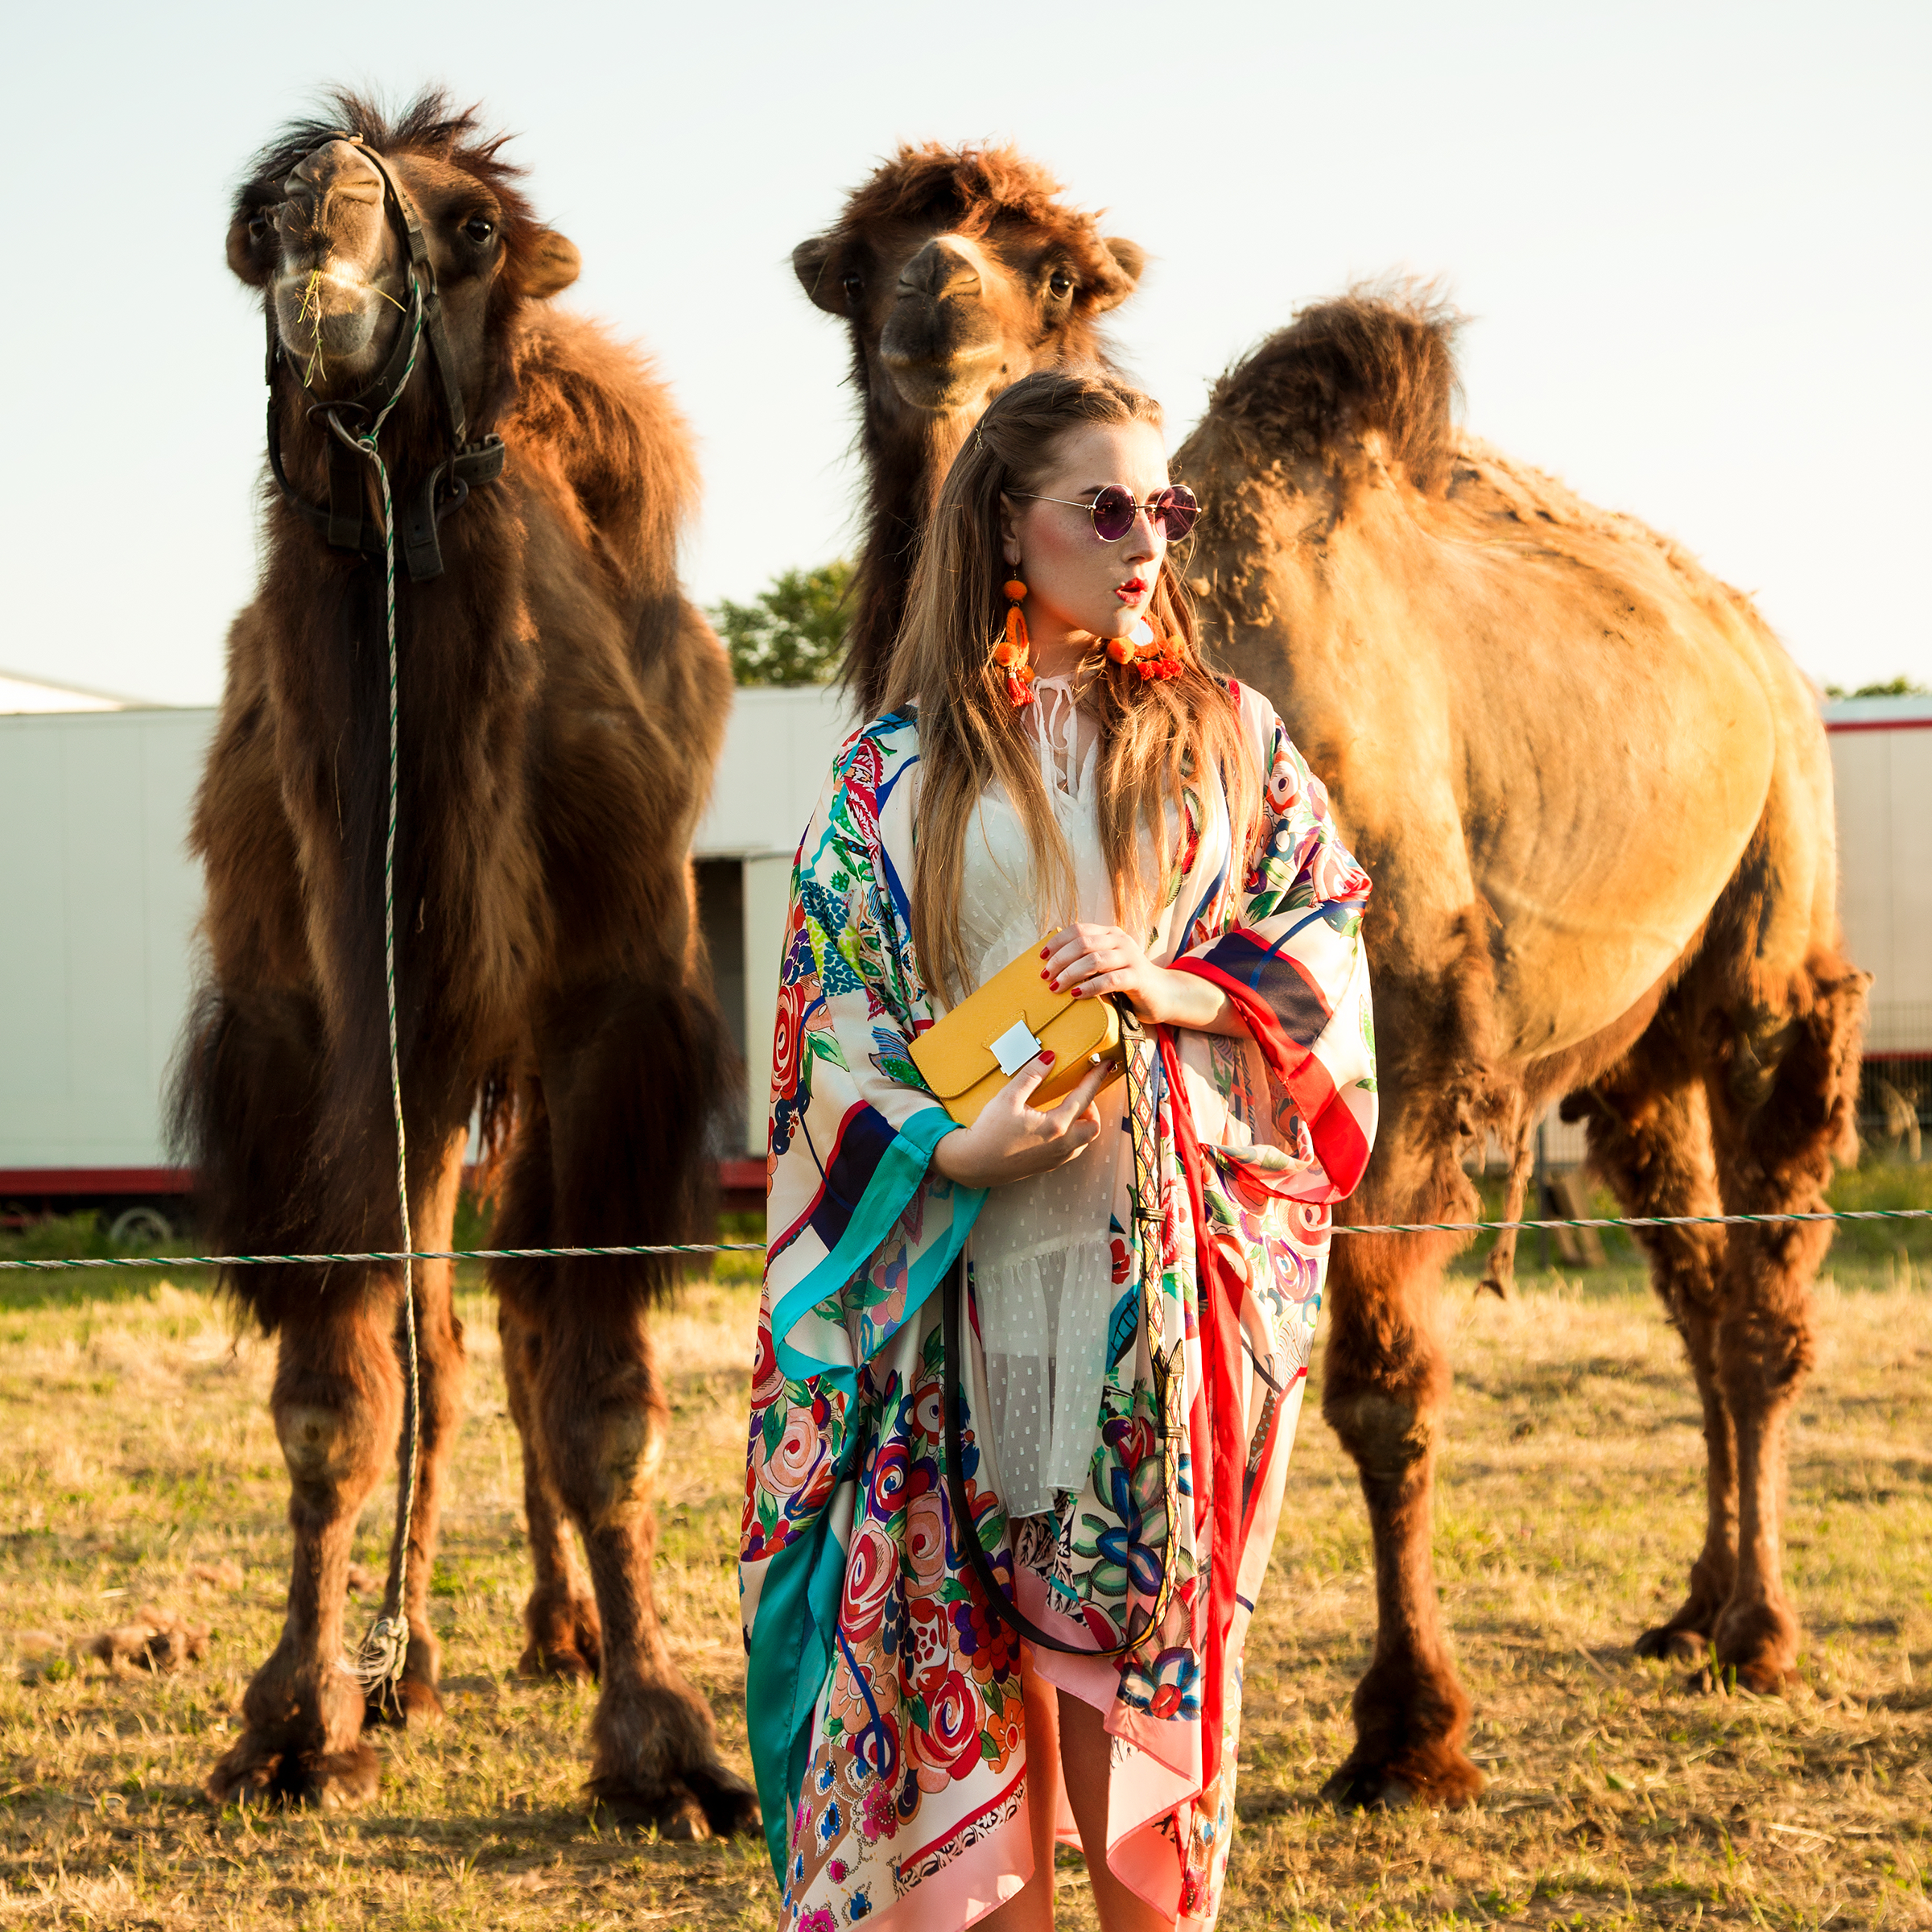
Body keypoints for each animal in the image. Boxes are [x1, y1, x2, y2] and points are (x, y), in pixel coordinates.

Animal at [174, 90, 757, 1839]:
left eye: (475, 226)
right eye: (255, 227)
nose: (322, 217)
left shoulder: (614, 1016)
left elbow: (600, 1393)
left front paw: (665, 1746)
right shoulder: (311, 1032)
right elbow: (334, 1394)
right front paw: (298, 1719)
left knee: (515, 1316)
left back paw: (564, 1631)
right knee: (436, 1325)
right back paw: (411, 1655)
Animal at [792, 158, 1862, 1800]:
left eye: (1054, 270)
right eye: (861, 267)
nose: (941, 295)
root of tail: (1761, 650)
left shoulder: (1396, 1030)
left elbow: (1380, 1386)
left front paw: (1413, 1733)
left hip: (1775, 889)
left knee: (1760, 1271)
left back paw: (1759, 1633)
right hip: (1635, 1041)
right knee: (1690, 1269)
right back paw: (1693, 1609)